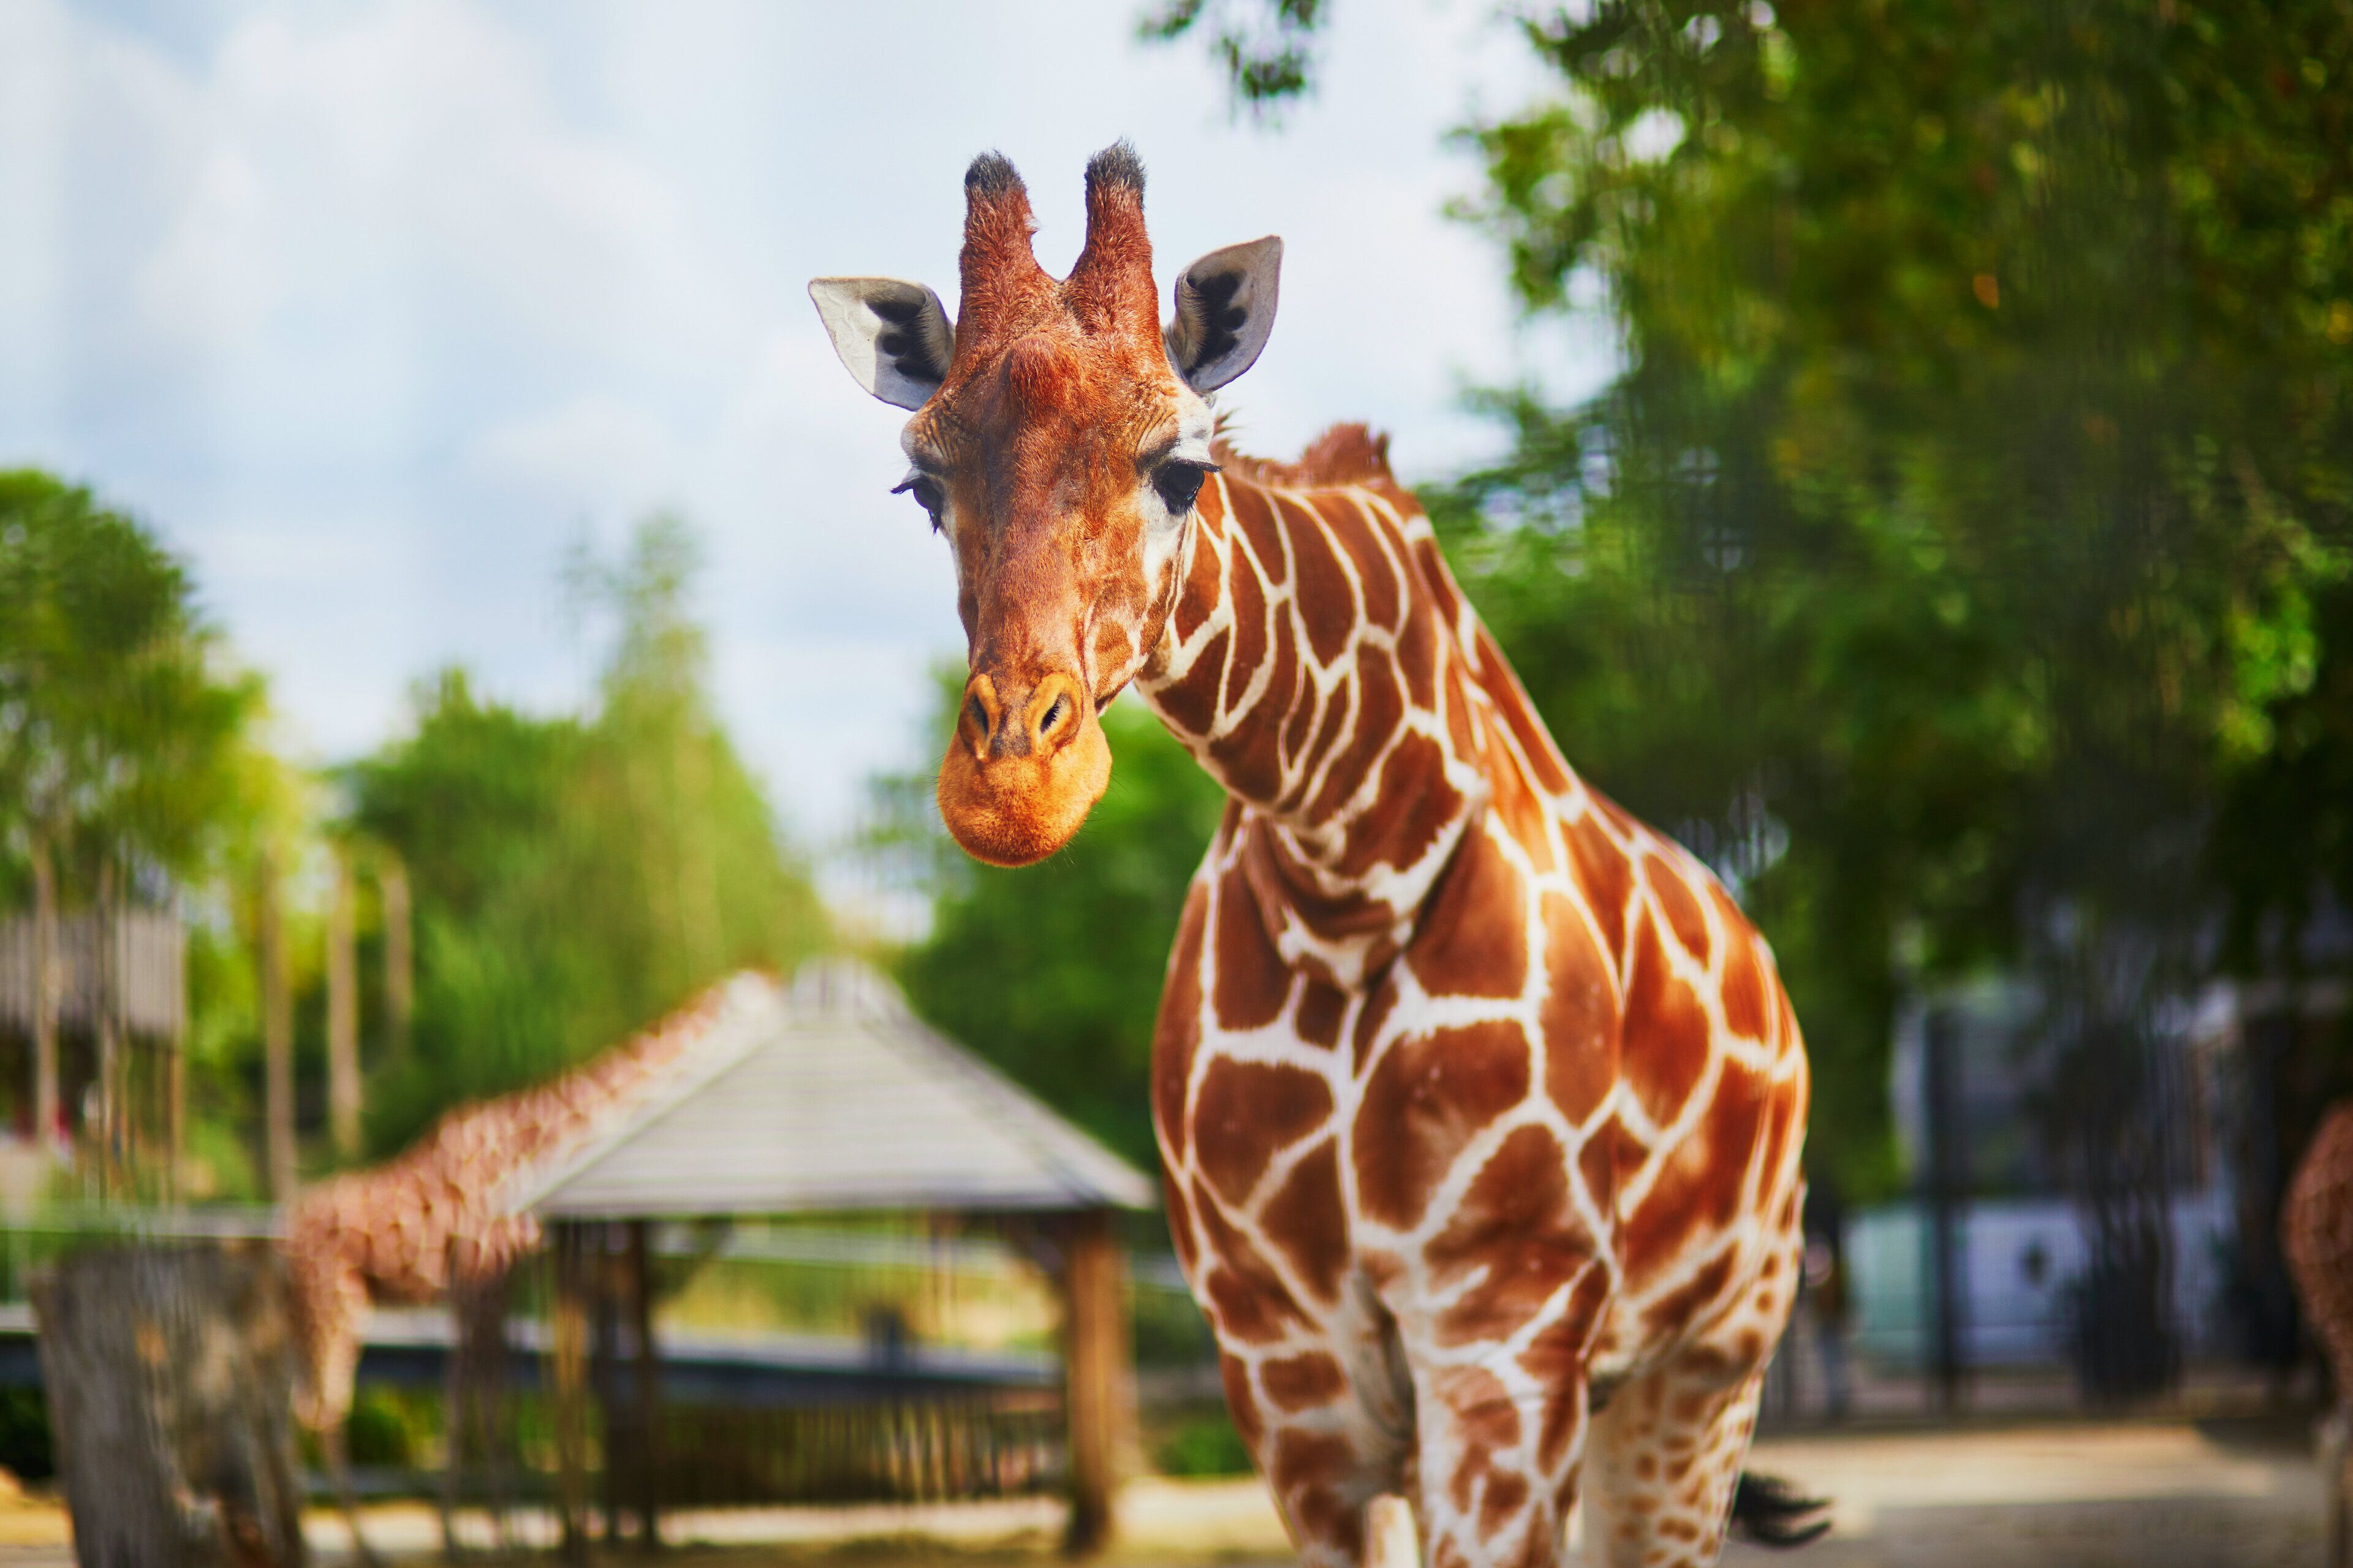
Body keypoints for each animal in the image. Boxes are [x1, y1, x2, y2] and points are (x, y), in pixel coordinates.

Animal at [281, 973, 767, 1558]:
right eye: (755, 1006)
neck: (530, 1145)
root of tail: (281, 1234)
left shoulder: (499, 1286)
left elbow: (496, 1401)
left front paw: (504, 1532)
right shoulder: (479, 1280)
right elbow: (473, 1405)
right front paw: (465, 1538)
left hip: (308, 1314)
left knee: (295, 1403)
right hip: (335, 1304)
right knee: (322, 1409)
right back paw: (354, 1546)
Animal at [811, 144, 1822, 1567]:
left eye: (1181, 466)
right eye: (921, 486)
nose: (1015, 788)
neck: (1349, 854)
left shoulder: (1500, 1331)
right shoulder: (1288, 1370)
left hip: (1706, 1373)